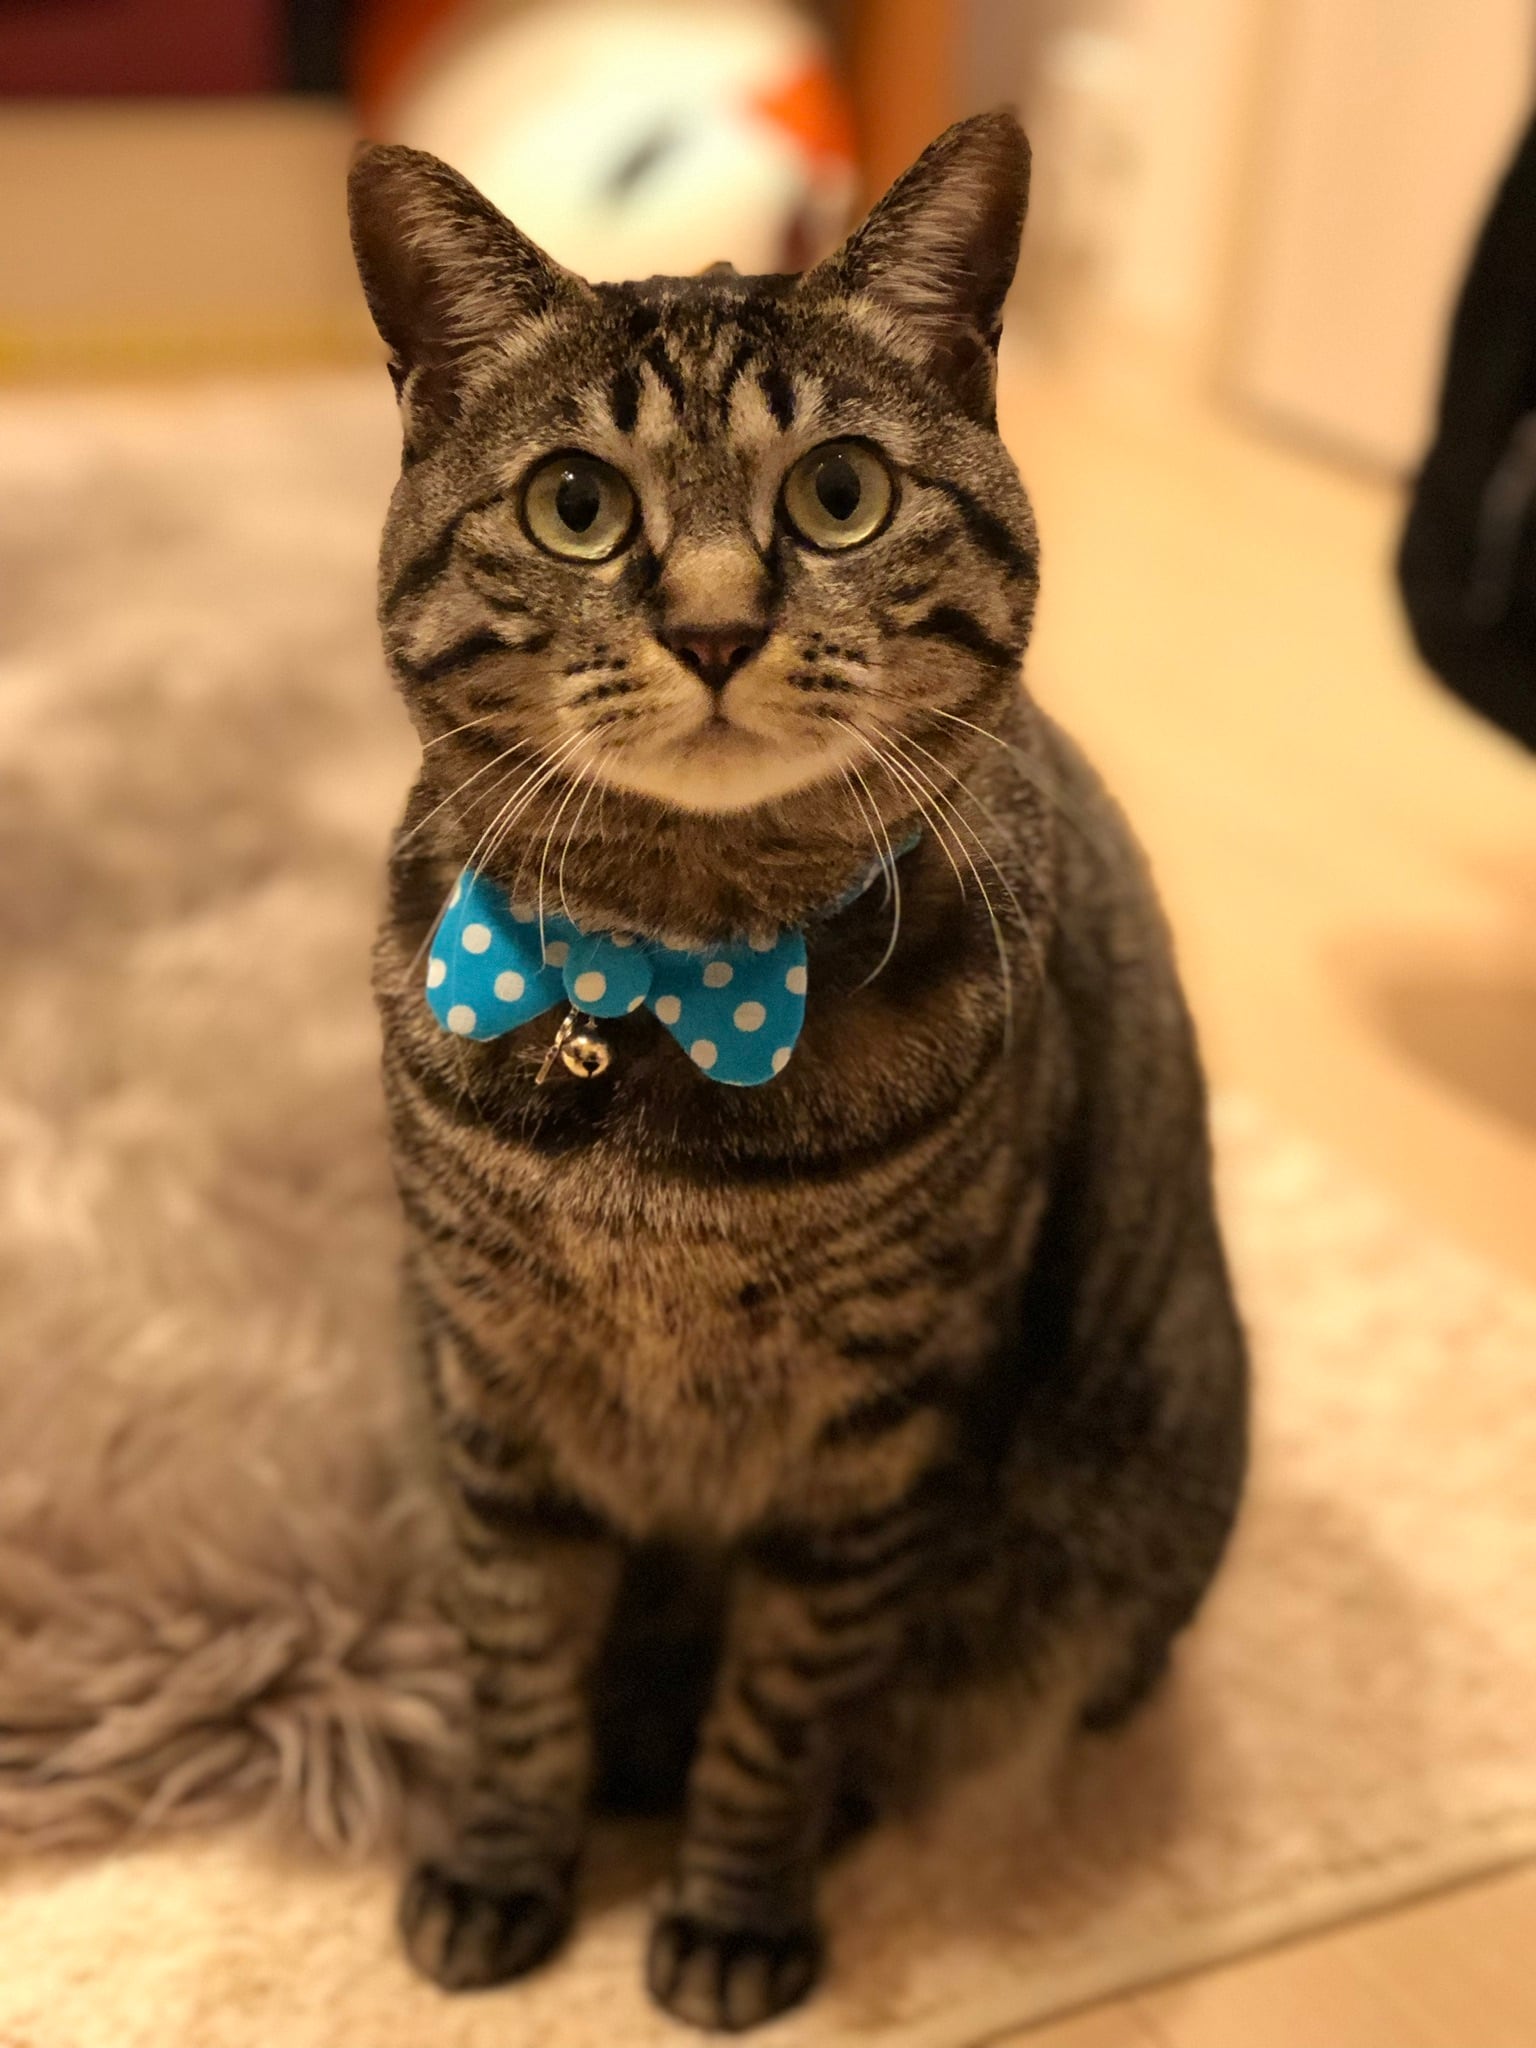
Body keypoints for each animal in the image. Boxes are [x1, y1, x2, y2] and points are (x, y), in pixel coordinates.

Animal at [347, 110, 1248, 2033]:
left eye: (841, 494)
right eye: (577, 505)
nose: (709, 627)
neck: (667, 981)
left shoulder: (874, 1433)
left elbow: (777, 1710)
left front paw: (733, 1910)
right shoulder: (494, 1393)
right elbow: (519, 1667)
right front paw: (503, 1868)